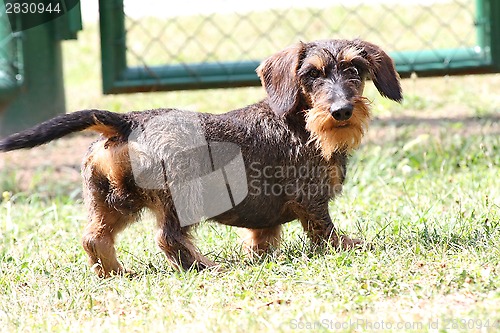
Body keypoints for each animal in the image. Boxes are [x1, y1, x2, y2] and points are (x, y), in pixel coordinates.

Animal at [0, 39, 400, 276]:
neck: (301, 122)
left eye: (354, 70)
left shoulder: (268, 215)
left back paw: (115, 273)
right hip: (181, 198)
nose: (341, 111)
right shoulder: (312, 200)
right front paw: (351, 247)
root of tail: (129, 120)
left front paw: (260, 257)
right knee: (169, 239)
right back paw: (207, 266)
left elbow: (262, 237)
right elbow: (324, 232)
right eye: (311, 74)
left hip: (109, 201)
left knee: (95, 239)